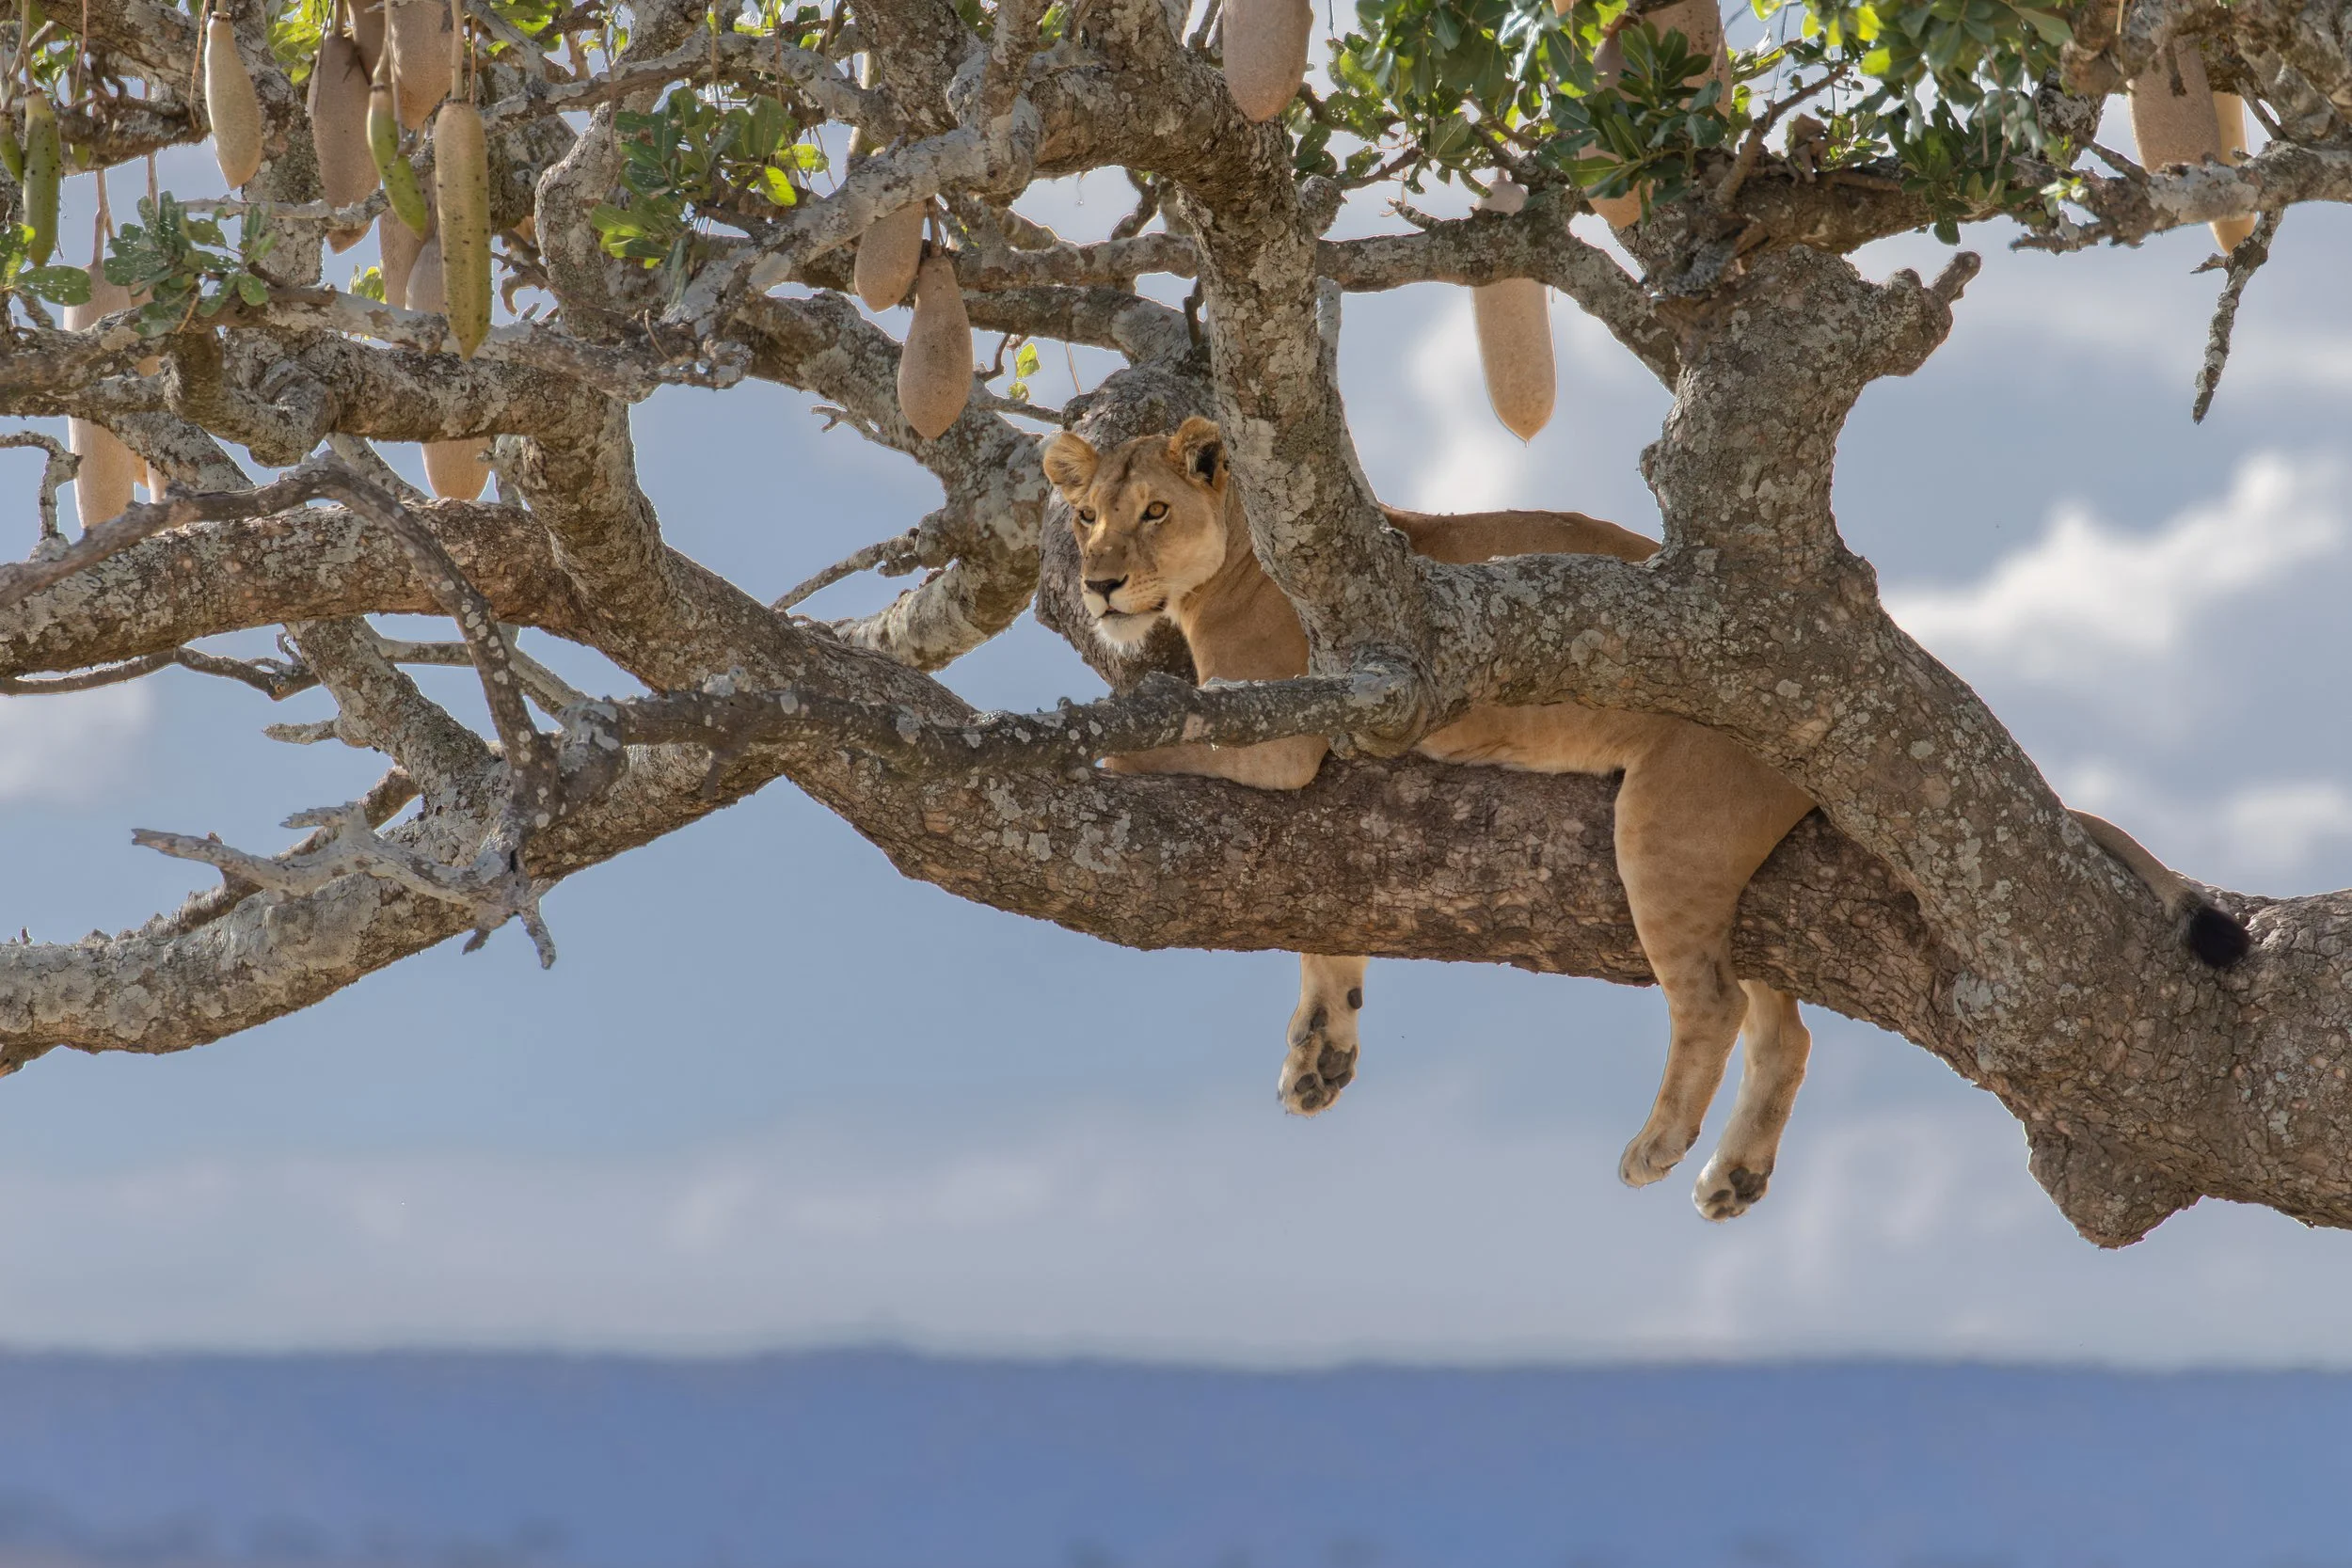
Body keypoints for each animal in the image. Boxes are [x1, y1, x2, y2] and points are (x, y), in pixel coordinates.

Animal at [1039, 416, 2249, 1220]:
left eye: (1153, 511)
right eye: (1085, 515)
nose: (1096, 583)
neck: (1235, 562)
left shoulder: (1290, 732)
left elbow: (1154, 739)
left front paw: (1097, 739)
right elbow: (1325, 920)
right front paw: (1318, 1055)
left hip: (1665, 823)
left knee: (1713, 1003)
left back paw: (1660, 1147)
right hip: (1730, 868)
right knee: (1783, 1025)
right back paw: (1735, 1173)